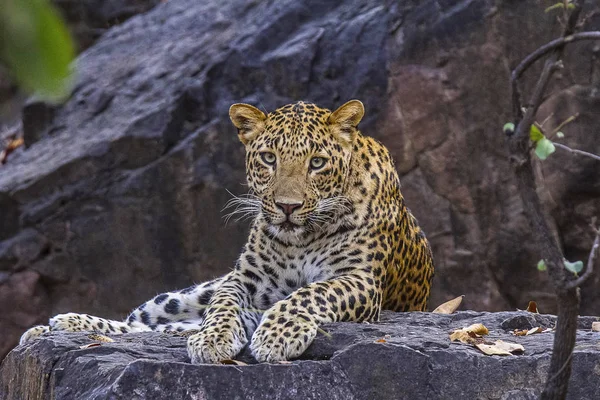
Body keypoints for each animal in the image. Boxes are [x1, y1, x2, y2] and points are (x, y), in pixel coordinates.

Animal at [19, 99, 432, 362]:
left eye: (317, 163)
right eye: (269, 158)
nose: (288, 207)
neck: (302, 239)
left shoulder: (360, 279)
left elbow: (309, 294)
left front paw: (276, 336)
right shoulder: (243, 280)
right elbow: (223, 306)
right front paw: (214, 339)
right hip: (180, 295)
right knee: (143, 322)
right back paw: (61, 325)